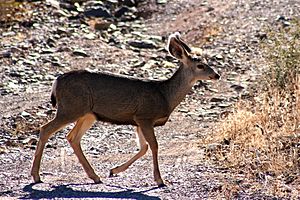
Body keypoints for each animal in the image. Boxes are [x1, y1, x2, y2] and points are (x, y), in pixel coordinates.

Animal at [31, 32, 220, 188]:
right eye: (200, 66)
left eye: (207, 62)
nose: (216, 75)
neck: (165, 95)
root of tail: (56, 81)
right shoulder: (145, 116)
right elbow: (154, 145)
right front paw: (159, 180)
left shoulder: (137, 120)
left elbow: (143, 147)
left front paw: (114, 170)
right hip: (70, 108)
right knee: (45, 129)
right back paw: (36, 176)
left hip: (87, 114)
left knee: (72, 137)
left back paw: (95, 176)